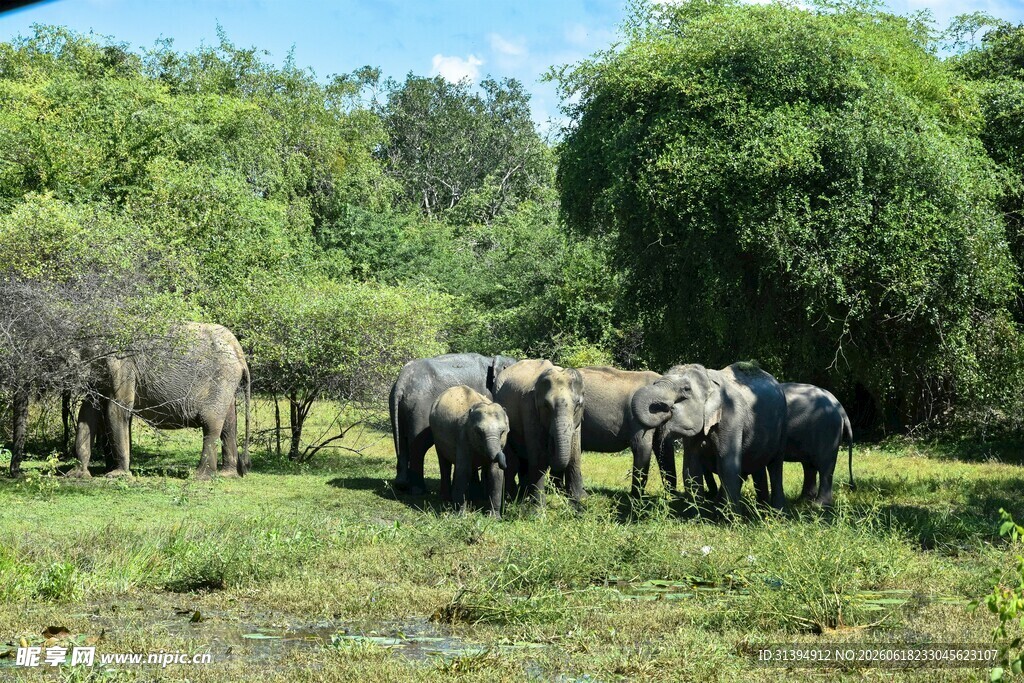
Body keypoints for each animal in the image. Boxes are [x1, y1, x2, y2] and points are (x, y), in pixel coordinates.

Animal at [71, 322, 250, 479]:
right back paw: (228, 474)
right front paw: (78, 474)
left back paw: (200, 477)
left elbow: (117, 410)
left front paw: (116, 475)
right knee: (229, 426)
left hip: (221, 380)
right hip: (227, 384)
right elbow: (87, 411)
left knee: (211, 424)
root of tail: (238, 351)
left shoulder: (121, 364)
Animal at [389, 353, 516, 495]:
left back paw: (402, 485)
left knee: (401, 440)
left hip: (398, 406)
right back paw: (419, 491)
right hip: (419, 408)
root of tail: (402, 381)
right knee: (418, 446)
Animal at [429, 385, 509, 517]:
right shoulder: (463, 437)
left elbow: (495, 473)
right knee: (444, 463)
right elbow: (464, 470)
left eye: (502, 432)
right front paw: (461, 515)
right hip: (436, 436)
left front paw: (494, 517)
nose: (505, 462)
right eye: (479, 432)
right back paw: (447, 499)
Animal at [493, 359, 585, 506]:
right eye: (546, 406)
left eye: (577, 404)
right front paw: (537, 508)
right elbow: (538, 456)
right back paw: (512, 498)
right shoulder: (530, 409)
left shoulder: (577, 423)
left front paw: (580, 500)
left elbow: (575, 454)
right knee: (512, 460)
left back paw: (522, 496)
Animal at [640, 362, 787, 509]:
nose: (664, 407)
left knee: (775, 466)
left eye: (686, 389)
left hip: (782, 426)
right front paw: (697, 513)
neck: (709, 378)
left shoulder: (731, 416)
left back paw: (776, 511)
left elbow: (728, 466)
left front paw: (732, 515)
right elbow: (690, 467)